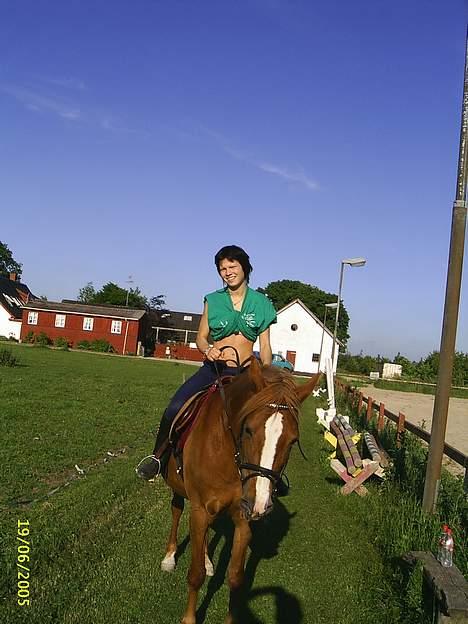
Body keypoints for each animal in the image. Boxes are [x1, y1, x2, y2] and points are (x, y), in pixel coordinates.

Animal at [162, 356, 322, 624]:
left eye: (292, 441)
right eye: (248, 430)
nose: (259, 503)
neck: (229, 454)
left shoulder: (242, 518)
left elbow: (236, 579)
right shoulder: (199, 510)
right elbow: (195, 574)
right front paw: (189, 618)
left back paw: (208, 560)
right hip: (178, 489)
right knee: (176, 511)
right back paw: (170, 556)